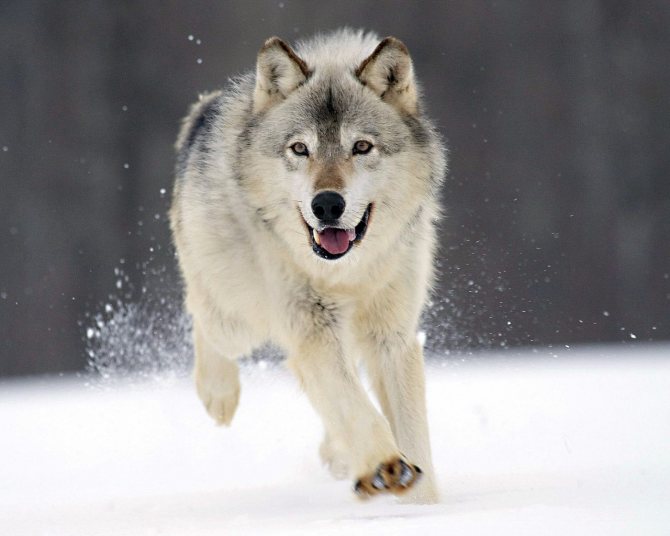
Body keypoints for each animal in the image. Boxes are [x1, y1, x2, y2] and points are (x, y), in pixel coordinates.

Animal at [170, 29, 446, 503]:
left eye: (361, 147)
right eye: (300, 148)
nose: (327, 204)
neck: (347, 273)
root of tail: (204, 110)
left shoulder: (392, 336)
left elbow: (410, 432)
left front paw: (422, 501)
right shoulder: (312, 328)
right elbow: (354, 405)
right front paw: (385, 465)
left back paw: (338, 455)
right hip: (237, 318)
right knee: (202, 315)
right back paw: (218, 394)